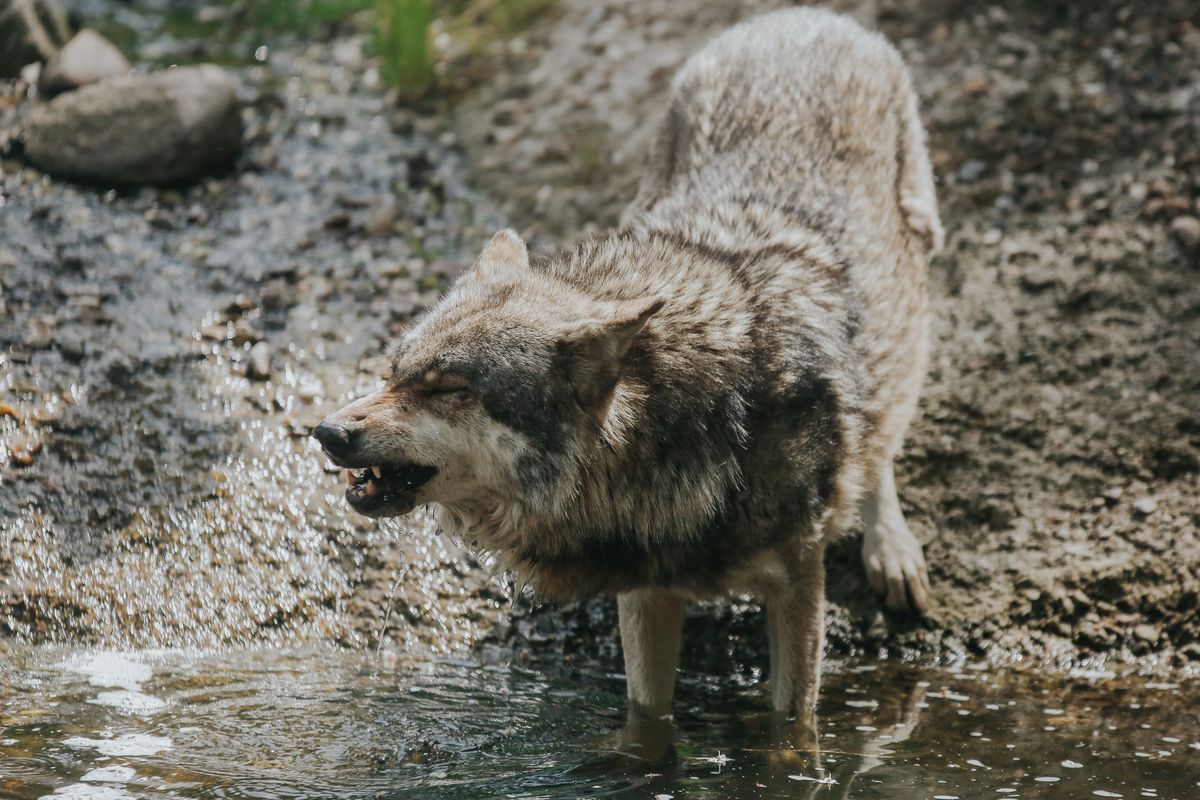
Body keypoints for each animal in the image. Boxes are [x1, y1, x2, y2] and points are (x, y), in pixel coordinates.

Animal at [314, 6, 940, 724]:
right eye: (393, 372)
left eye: (448, 389)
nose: (328, 432)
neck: (705, 421)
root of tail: (800, 17)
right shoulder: (646, 590)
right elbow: (646, 716)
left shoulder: (798, 586)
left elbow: (791, 724)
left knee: (885, 424)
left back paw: (890, 550)